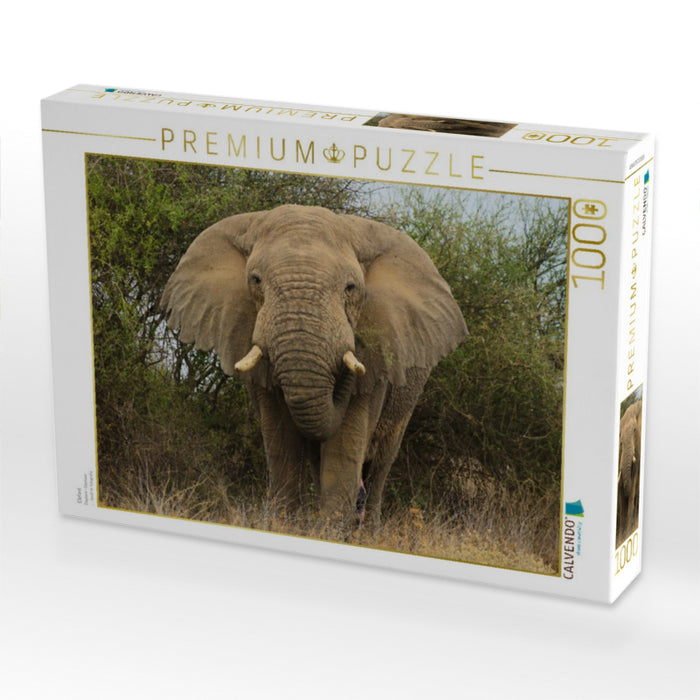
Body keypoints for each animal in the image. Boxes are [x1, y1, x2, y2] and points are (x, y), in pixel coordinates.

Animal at [161, 204, 467, 525]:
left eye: (350, 287)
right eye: (255, 280)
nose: (352, 340)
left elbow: (346, 443)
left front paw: (330, 530)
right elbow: (280, 438)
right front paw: (286, 523)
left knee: (381, 461)